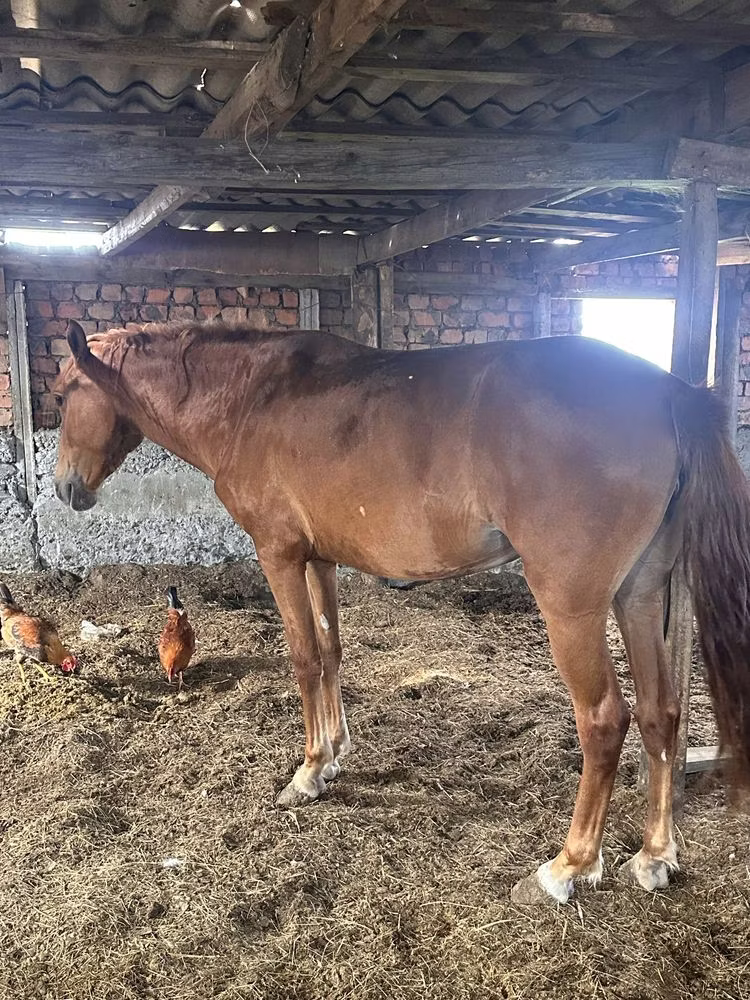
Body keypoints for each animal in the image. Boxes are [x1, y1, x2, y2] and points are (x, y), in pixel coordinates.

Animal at [53, 318, 750, 905]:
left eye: (61, 397)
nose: (63, 487)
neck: (252, 399)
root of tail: (667, 391)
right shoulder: (319, 559)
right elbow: (331, 651)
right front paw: (333, 752)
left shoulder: (278, 555)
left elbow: (303, 658)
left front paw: (307, 772)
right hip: (641, 594)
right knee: (662, 713)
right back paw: (654, 856)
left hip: (572, 609)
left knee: (605, 720)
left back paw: (568, 867)